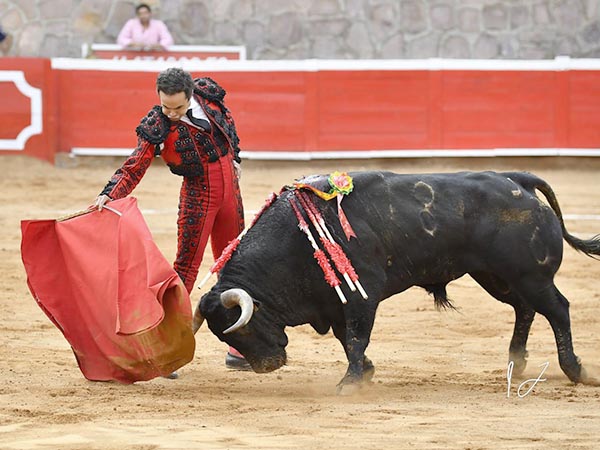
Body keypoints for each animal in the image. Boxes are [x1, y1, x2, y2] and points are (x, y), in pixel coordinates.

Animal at [195, 171, 596, 392]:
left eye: (243, 328)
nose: (267, 366)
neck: (295, 240)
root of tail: (517, 180)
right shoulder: (336, 303)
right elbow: (346, 339)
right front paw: (365, 374)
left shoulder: (361, 296)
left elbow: (355, 339)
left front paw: (350, 383)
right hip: (497, 277)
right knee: (525, 309)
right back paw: (516, 362)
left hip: (530, 275)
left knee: (557, 310)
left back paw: (577, 371)